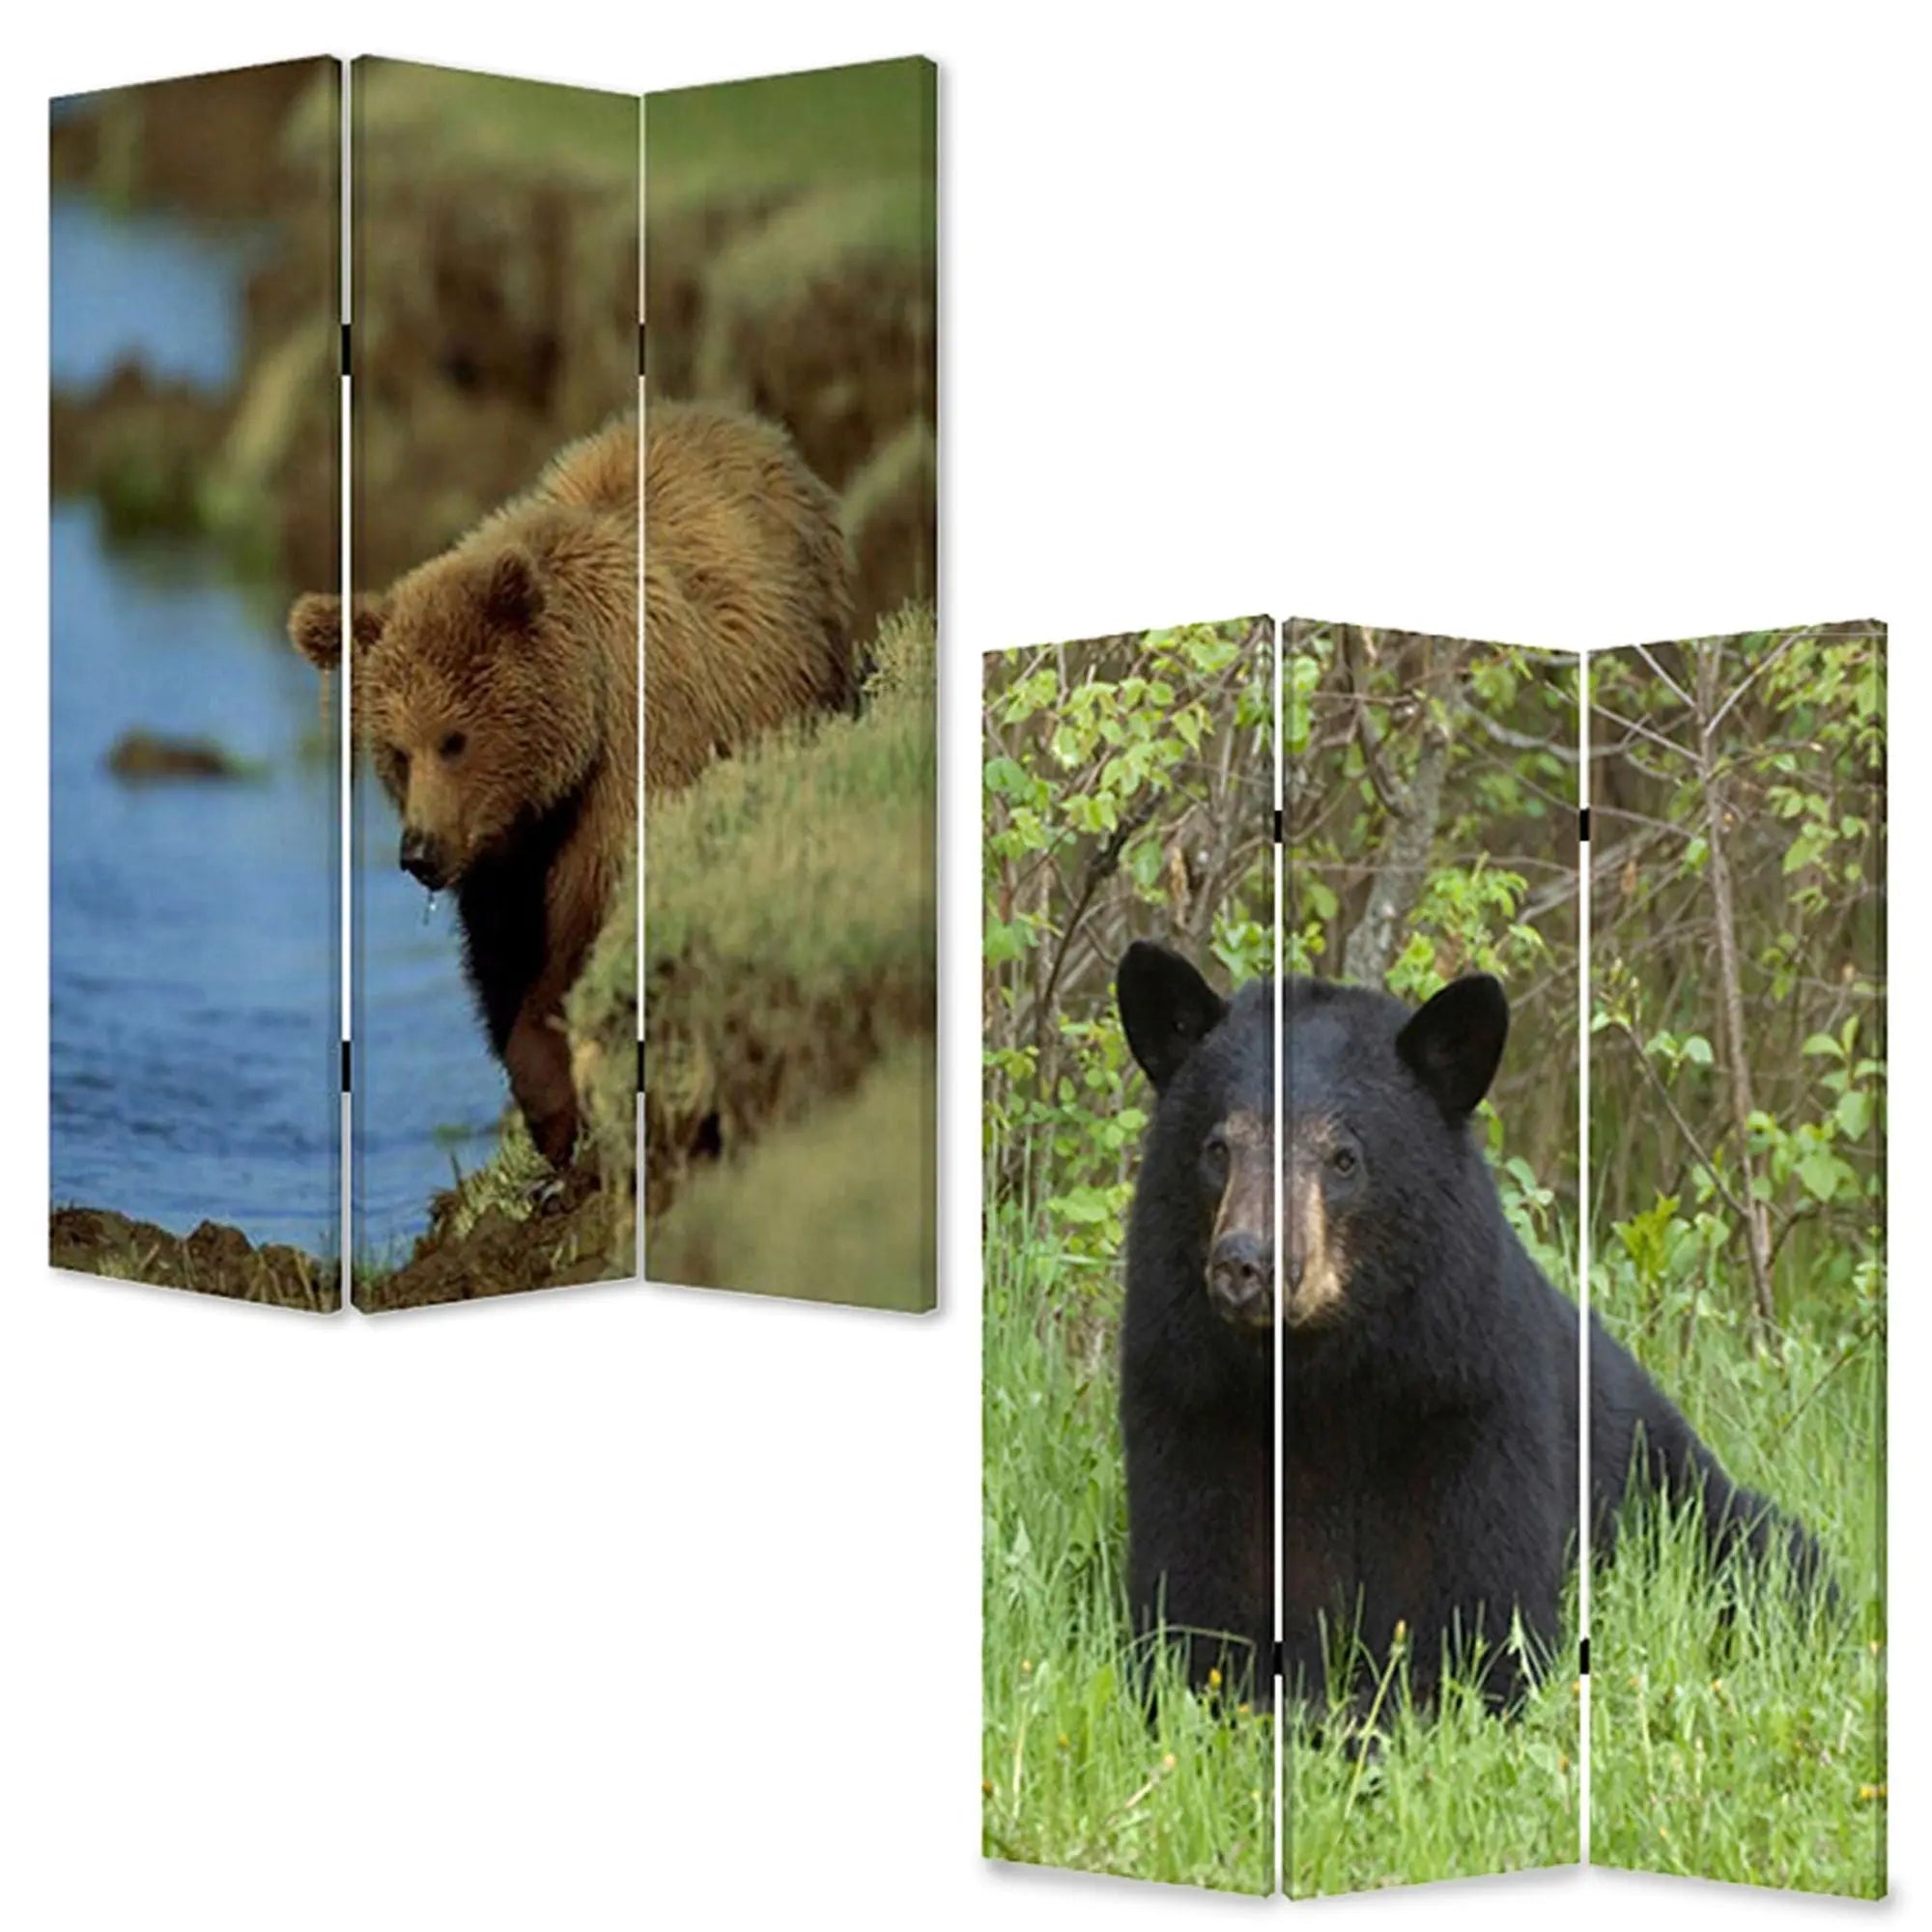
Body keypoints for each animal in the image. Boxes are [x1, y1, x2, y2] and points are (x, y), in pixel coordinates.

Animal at [289, 403, 855, 1166]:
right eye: (396, 752)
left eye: (454, 739)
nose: (420, 852)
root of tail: (751, 426)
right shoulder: (502, 859)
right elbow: (504, 961)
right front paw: (550, 1111)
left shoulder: (627, 771)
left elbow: (586, 930)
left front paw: (566, 1101)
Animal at [1114, 941, 1827, 1719]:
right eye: (1218, 1148)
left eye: (1344, 1158)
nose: (1248, 1264)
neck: (1319, 1373)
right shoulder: (1195, 1399)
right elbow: (1204, 1601)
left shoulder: (1466, 1397)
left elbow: (1477, 1611)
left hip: (1681, 1496)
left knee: (1773, 1557)